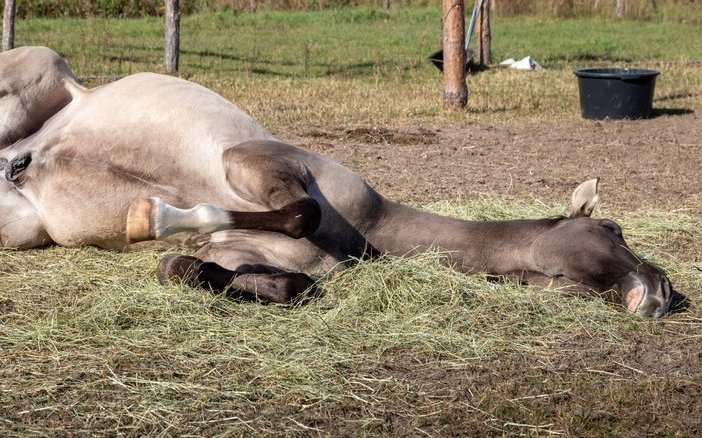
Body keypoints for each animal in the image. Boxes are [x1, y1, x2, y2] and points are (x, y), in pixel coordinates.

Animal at [0, 46, 676, 316]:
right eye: (613, 227)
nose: (665, 292)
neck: (368, 232)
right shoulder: (254, 161)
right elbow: (301, 212)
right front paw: (155, 216)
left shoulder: (256, 255)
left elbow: (234, 277)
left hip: (20, 225)